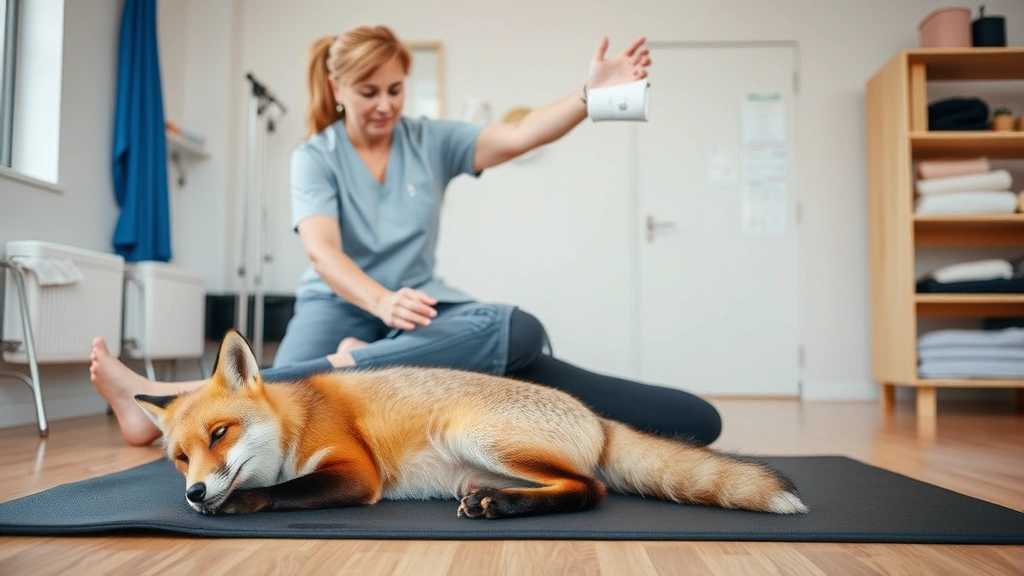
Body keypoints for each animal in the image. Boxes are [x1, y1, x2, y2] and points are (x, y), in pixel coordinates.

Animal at [134, 329, 809, 518]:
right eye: (180, 458)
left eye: (219, 435)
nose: (195, 491)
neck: (298, 419)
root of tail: (597, 416)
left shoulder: (357, 472)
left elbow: (280, 492)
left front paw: (236, 503)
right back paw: (497, 500)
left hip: (471, 433)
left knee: (591, 490)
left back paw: (506, 507)